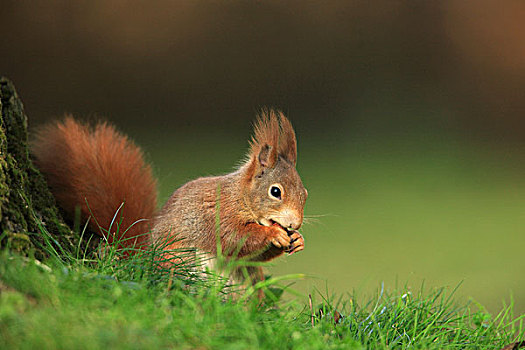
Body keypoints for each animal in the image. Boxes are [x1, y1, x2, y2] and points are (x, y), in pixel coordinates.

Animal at [32, 109, 308, 278]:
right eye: (275, 192)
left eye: (305, 194)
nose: (294, 224)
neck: (240, 198)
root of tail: (143, 257)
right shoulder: (217, 213)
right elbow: (234, 238)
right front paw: (273, 234)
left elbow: (253, 255)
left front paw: (298, 240)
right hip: (179, 260)